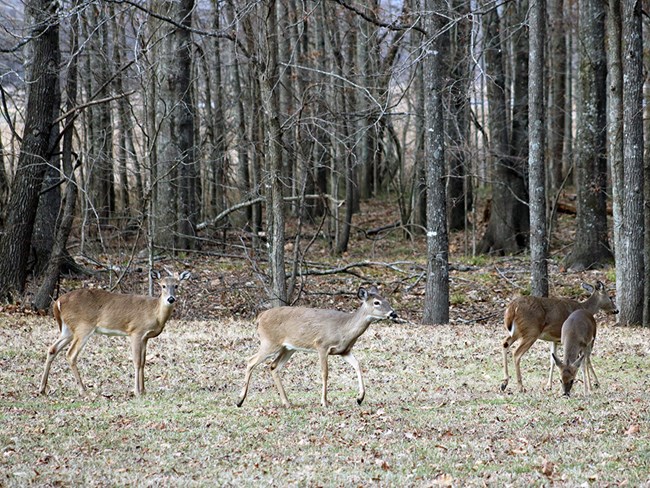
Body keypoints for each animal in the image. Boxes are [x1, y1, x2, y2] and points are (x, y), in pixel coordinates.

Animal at [38, 268, 190, 398]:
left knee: (52, 349)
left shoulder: (145, 337)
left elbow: (143, 362)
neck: (155, 313)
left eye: (176, 285)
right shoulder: (136, 331)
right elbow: (137, 361)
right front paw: (137, 391)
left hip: (68, 329)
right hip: (83, 327)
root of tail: (57, 302)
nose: (171, 299)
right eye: (163, 286)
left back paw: (42, 389)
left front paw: (144, 390)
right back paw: (83, 391)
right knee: (70, 354)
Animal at [234, 286, 394, 408]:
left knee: (274, 366)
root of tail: (260, 317)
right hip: (270, 342)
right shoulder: (322, 345)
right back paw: (240, 400)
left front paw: (360, 398)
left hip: (288, 348)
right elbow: (325, 373)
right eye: (377, 302)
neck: (344, 329)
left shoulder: (344, 351)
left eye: (386, 299)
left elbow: (358, 365)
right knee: (251, 361)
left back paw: (287, 402)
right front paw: (324, 402)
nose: (393, 313)